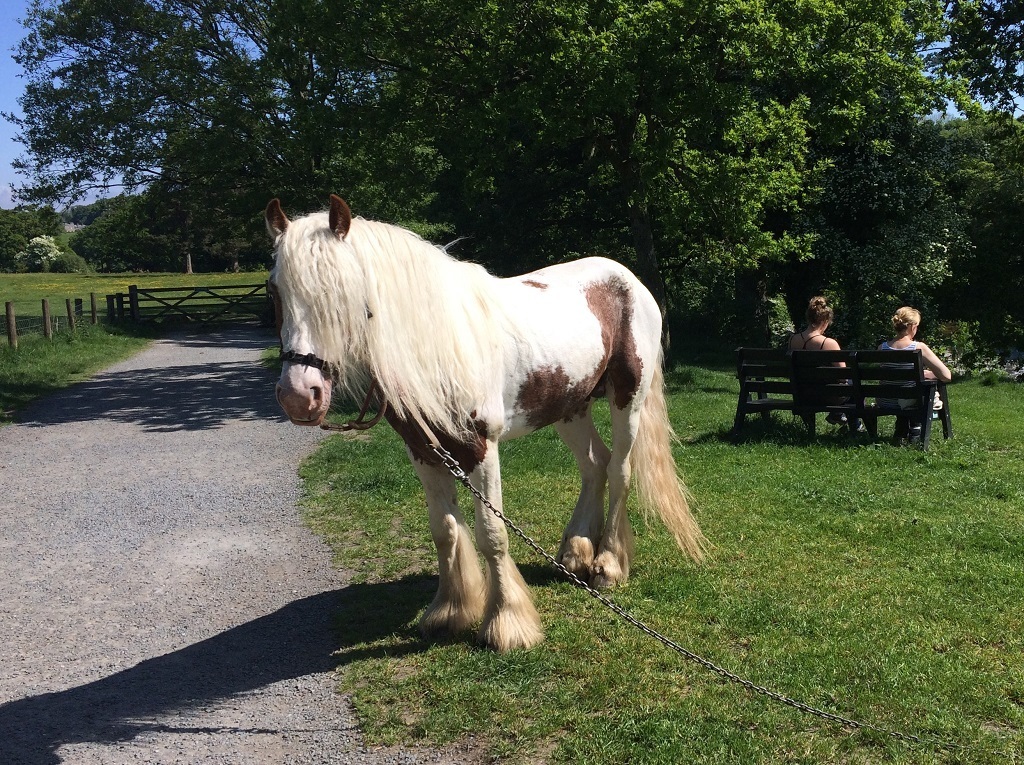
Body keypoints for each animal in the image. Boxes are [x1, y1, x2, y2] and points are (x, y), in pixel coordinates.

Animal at [266, 195, 705, 652]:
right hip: (570, 408)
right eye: (274, 291)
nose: (299, 395)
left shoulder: (481, 449)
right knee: (594, 466)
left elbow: (492, 534)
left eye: (341, 290)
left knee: (619, 470)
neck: (437, 344)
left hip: (628, 399)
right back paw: (576, 552)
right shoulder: (424, 452)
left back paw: (607, 564)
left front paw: (507, 624)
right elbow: (444, 531)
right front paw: (449, 612)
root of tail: (629, 280)